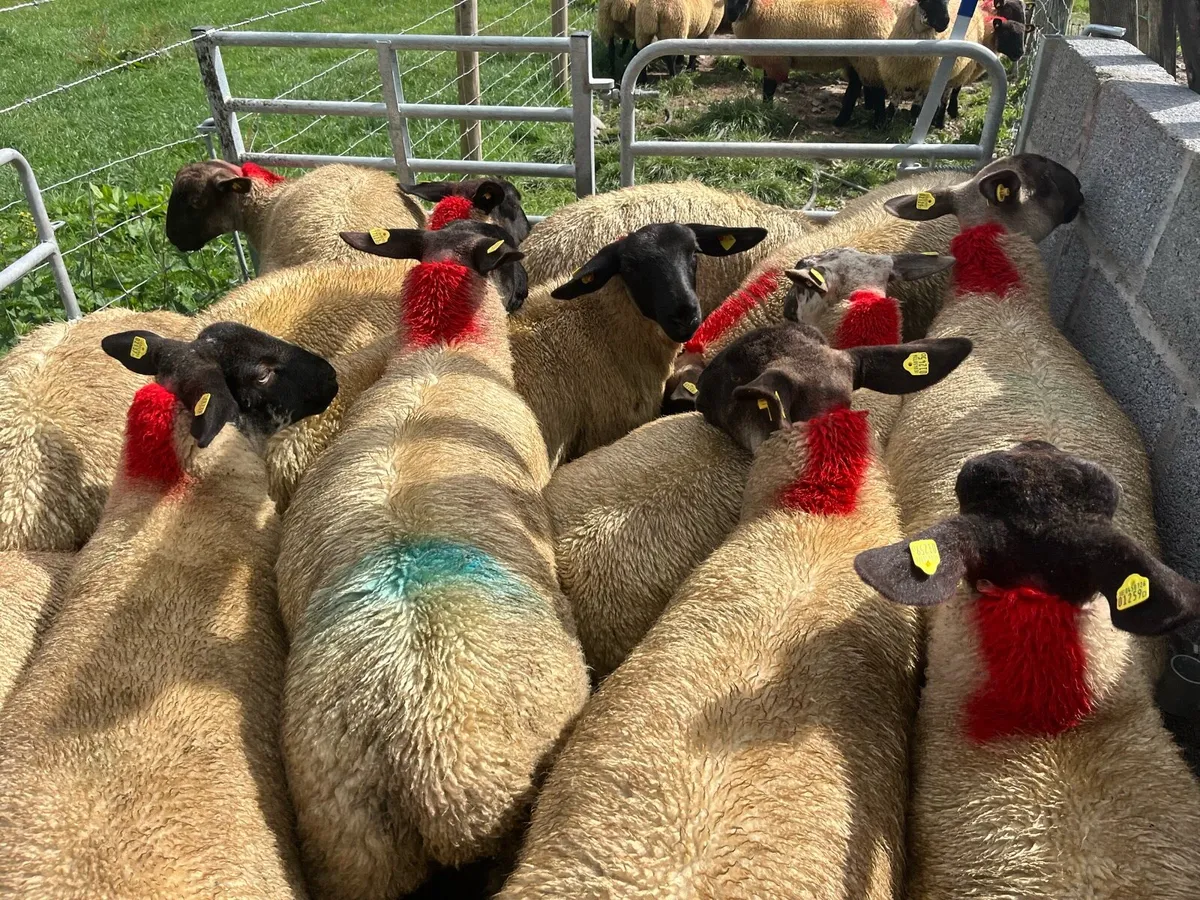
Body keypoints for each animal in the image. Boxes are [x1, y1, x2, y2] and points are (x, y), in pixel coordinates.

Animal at [726, 0, 897, 127]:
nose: (731, 14)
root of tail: (889, 13)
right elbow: (767, 90)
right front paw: (765, 109)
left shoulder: (775, 60)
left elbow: (768, 89)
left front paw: (766, 110)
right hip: (856, 59)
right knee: (855, 85)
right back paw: (841, 120)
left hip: (869, 59)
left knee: (877, 89)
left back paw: (879, 124)